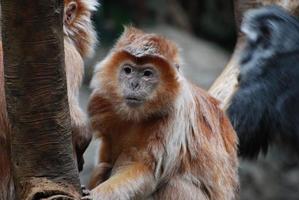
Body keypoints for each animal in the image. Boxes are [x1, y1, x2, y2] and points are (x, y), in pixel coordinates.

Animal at [86, 27, 239, 200]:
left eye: (147, 74)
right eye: (128, 70)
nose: (133, 84)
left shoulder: (175, 115)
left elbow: (147, 172)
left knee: (172, 184)